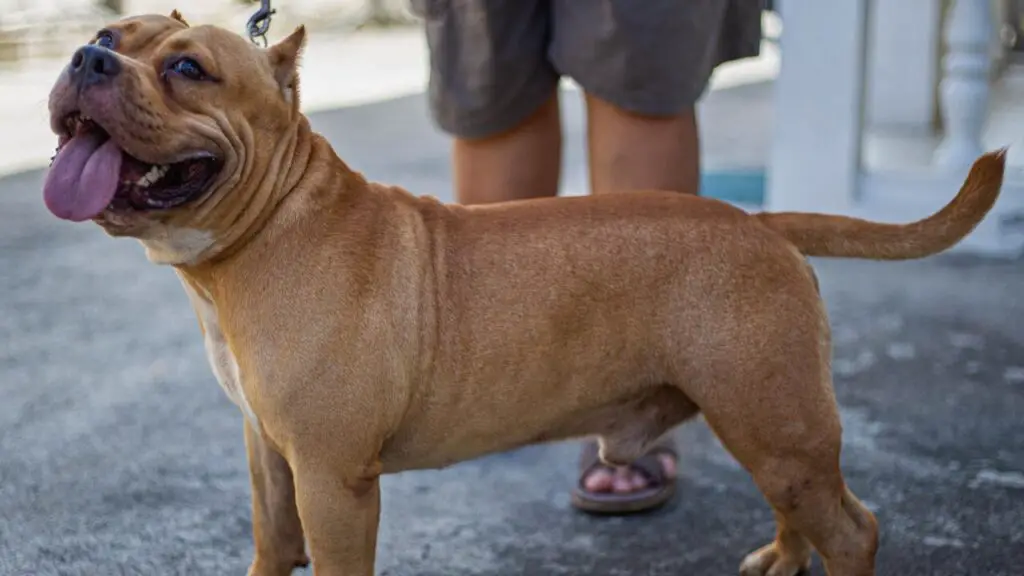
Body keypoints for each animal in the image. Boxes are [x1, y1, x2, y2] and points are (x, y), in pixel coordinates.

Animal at [41, 12, 1007, 573]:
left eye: (189, 70)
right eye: (109, 34)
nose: (85, 56)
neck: (273, 223)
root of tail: (763, 220)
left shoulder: (332, 478)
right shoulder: (270, 456)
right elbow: (272, 549)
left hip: (773, 414)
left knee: (853, 528)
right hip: (768, 424)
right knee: (802, 504)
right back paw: (779, 557)